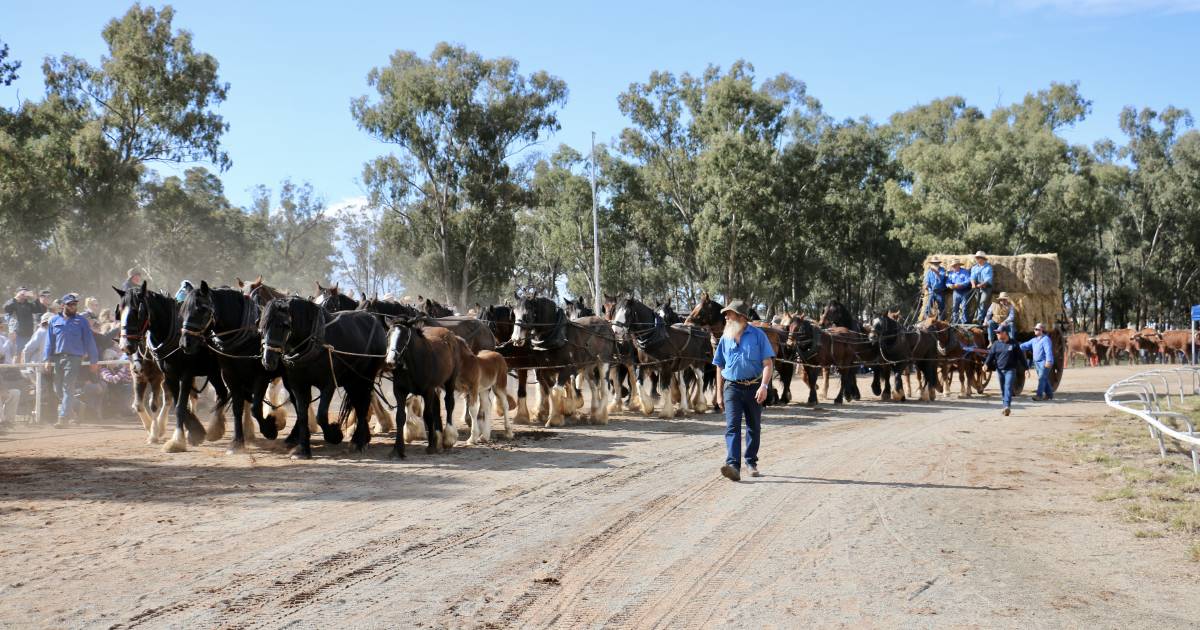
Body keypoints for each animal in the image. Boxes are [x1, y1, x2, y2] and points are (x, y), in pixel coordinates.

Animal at [115, 283, 230, 451]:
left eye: (137, 312)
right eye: (120, 312)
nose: (126, 346)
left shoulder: (182, 375)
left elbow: (175, 405)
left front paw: (173, 438)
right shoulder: (165, 376)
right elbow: (155, 404)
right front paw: (192, 432)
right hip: (213, 372)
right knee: (219, 393)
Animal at [177, 279, 285, 451]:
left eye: (201, 310)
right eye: (183, 310)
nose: (185, 343)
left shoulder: (261, 375)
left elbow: (255, 408)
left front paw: (269, 429)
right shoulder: (230, 375)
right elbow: (237, 406)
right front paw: (237, 441)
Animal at [259, 295, 384, 456]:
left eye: (284, 325)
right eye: (262, 326)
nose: (268, 360)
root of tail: (374, 320)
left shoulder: (328, 385)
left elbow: (322, 415)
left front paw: (335, 435)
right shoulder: (298, 385)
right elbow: (302, 415)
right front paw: (303, 449)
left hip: (365, 378)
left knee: (363, 405)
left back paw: (359, 442)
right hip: (352, 380)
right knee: (358, 403)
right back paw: (362, 438)